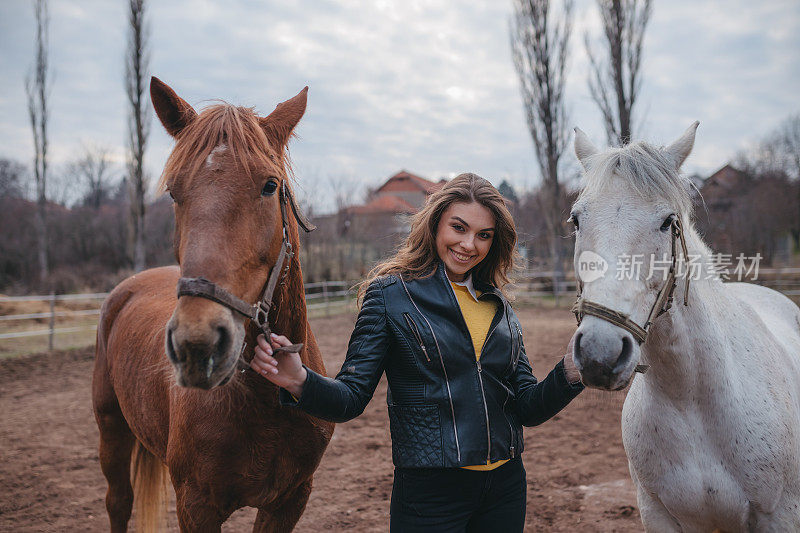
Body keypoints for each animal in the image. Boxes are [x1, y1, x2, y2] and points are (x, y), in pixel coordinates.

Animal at [92, 76, 332, 532]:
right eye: (174, 192)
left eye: (269, 185)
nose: (197, 345)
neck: (264, 401)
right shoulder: (196, 505)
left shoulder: (290, 500)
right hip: (111, 428)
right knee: (118, 502)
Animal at [568, 122, 800, 528]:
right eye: (577, 219)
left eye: (667, 223)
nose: (600, 353)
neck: (690, 400)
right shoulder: (657, 513)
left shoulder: (779, 515)